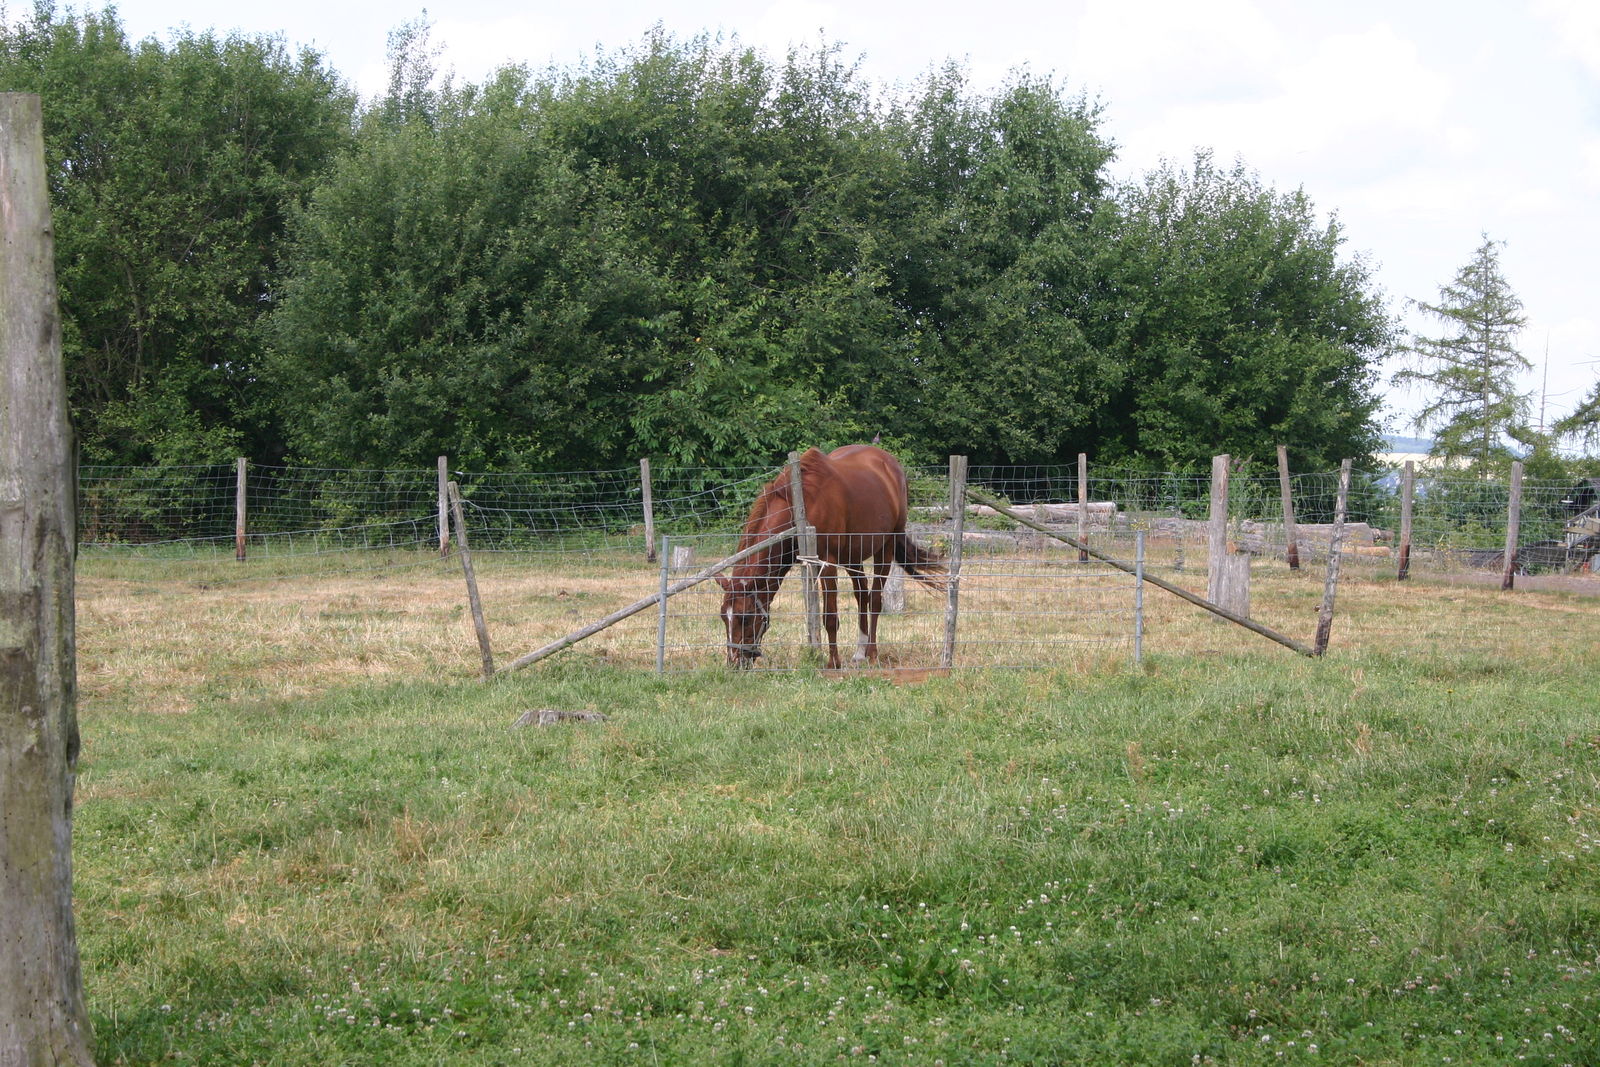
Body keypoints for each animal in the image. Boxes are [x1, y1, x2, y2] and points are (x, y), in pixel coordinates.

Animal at [715, 444, 946, 669]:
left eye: (745, 618)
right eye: (723, 617)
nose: (734, 663)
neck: (800, 504)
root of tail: (890, 463)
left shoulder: (828, 563)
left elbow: (830, 616)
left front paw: (833, 662)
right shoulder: (809, 563)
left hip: (886, 548)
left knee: (875, 599)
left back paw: (872, 653)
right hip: (852, 556)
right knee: (862, 594)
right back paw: (860, 652)